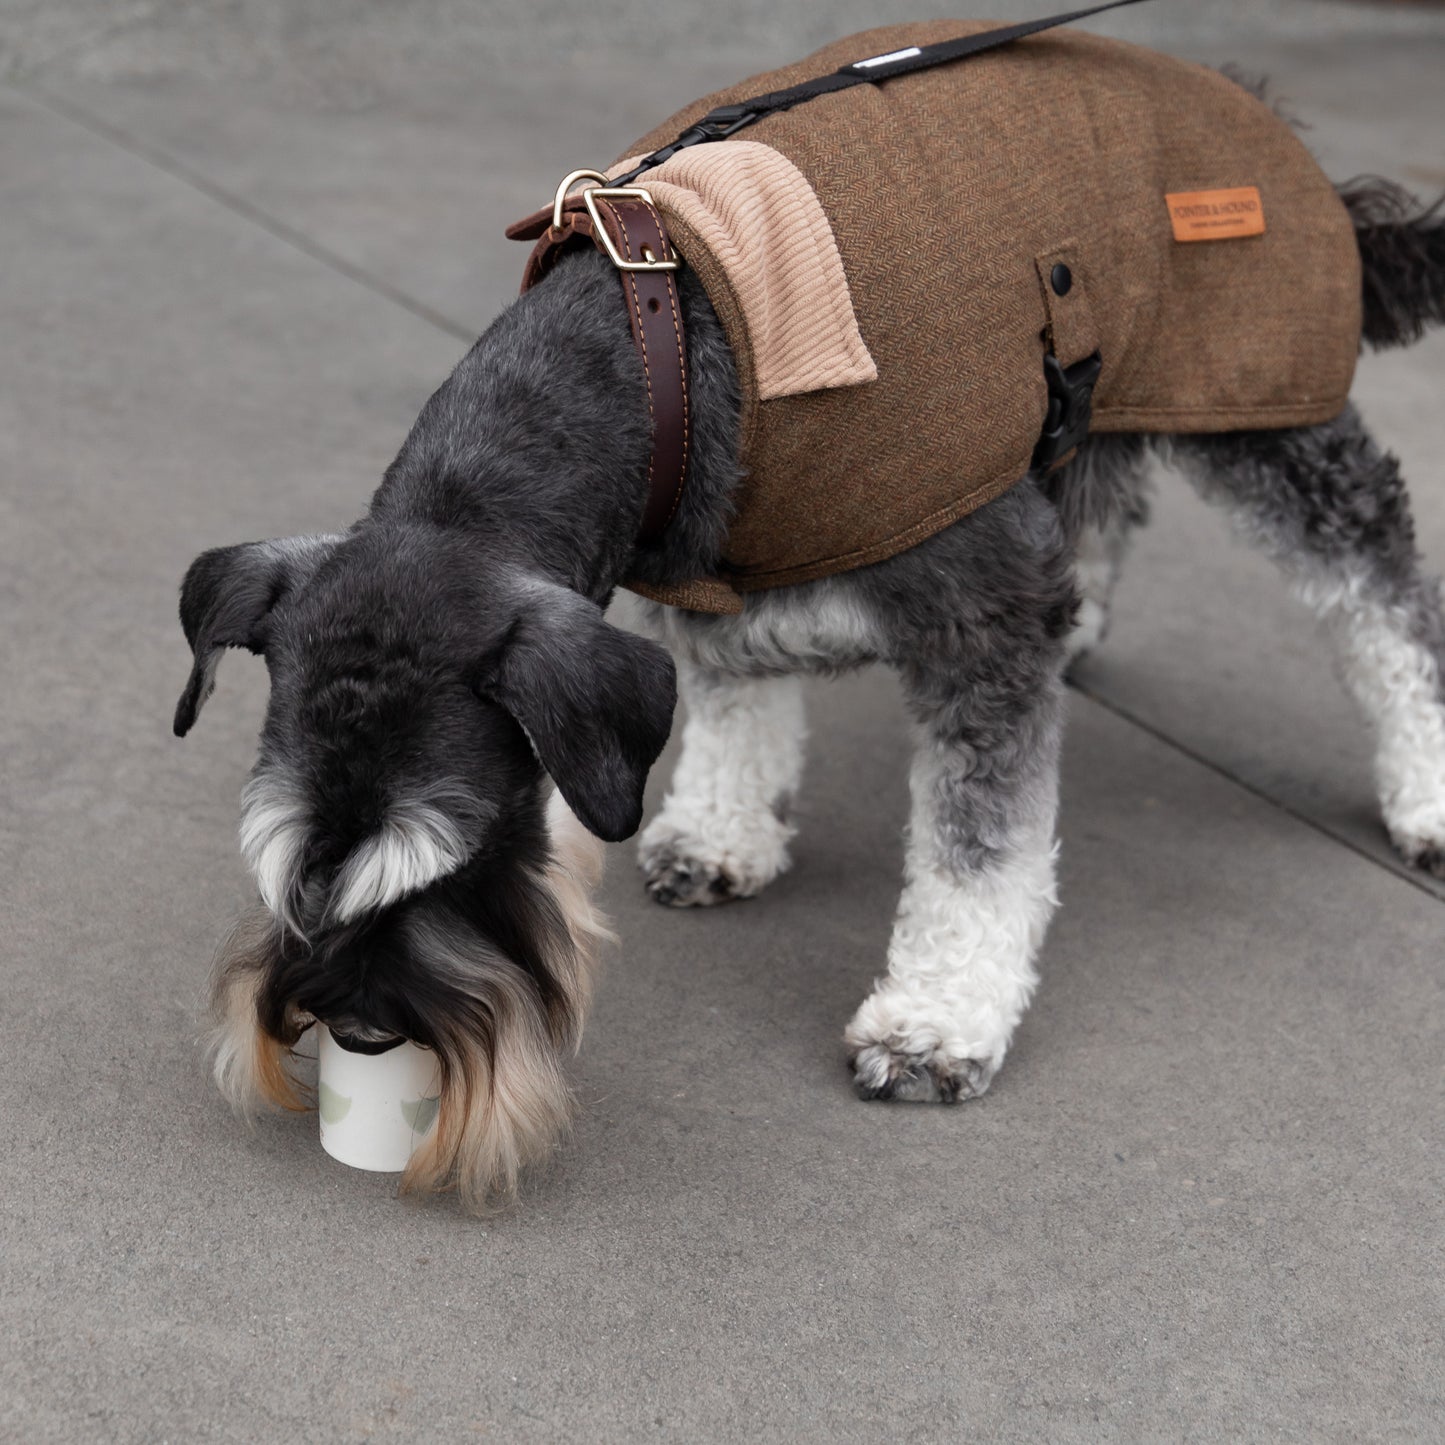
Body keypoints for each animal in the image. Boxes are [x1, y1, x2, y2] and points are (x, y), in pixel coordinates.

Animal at [171, 45, 1445, 1202]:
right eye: (285, 860)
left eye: (469, 854)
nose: (356, 1030)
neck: (665, 328)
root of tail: (1252, 98)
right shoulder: (724, 566)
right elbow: (734, 699)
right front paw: (719, 831)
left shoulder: (977, 610)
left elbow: (979, 845)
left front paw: (934, 1020)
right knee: (1105, 492)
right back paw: (1081, 616)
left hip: (1270, 416)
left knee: (1379, 587)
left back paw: (1423, 790)